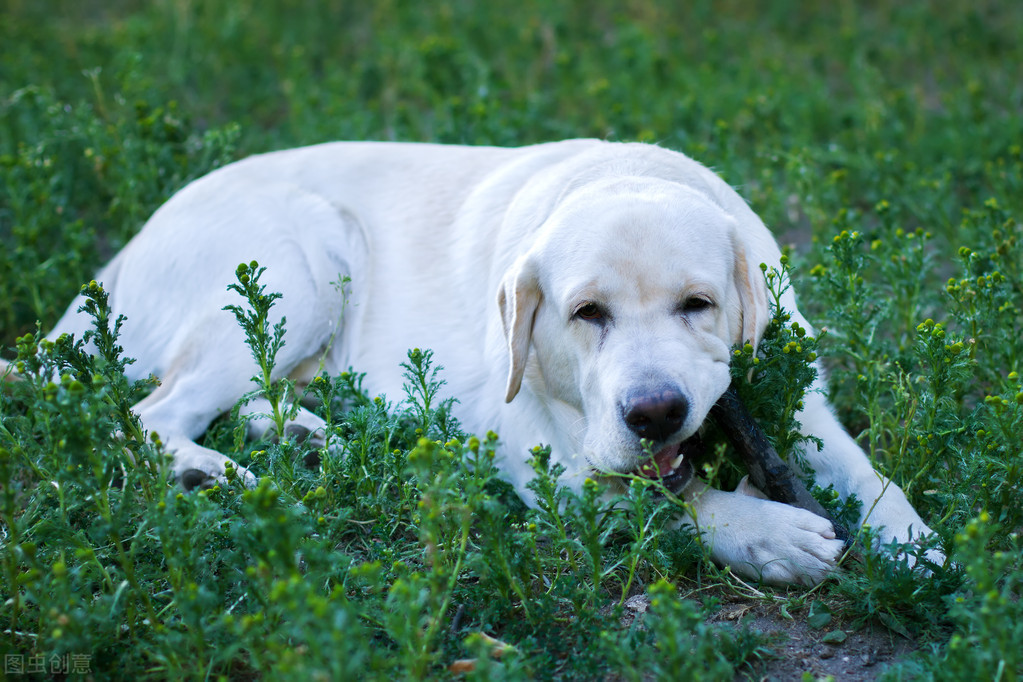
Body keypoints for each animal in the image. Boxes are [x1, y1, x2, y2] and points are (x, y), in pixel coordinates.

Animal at [25, 140, 941, 588]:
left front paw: (914, 546)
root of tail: (127, 247)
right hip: (295, 260)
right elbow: (672, 506)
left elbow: (869, 475)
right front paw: (766, 533)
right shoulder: (548, 466)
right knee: (152, 414)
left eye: (698, 304)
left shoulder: (803, 398)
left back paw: (308, 442)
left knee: (252, 397)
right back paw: (209, 472)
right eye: (586, 314)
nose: (655, 413)